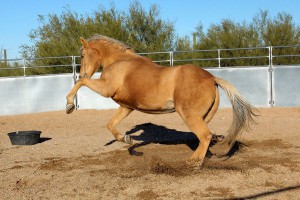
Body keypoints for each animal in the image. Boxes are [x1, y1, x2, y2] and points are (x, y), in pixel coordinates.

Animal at [67, 35, 256, 166]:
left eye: (82, 55)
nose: (83, 73)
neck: (120, 61)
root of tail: (212, 78)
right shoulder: (126, 106)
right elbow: (110, 125)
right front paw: (126, 139)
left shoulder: (106, 89)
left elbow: (80, 83)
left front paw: (69, 105)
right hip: (203, 117)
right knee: (204, 138)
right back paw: (196, 158)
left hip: (189, 115)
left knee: (205, 136)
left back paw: (193, 162)